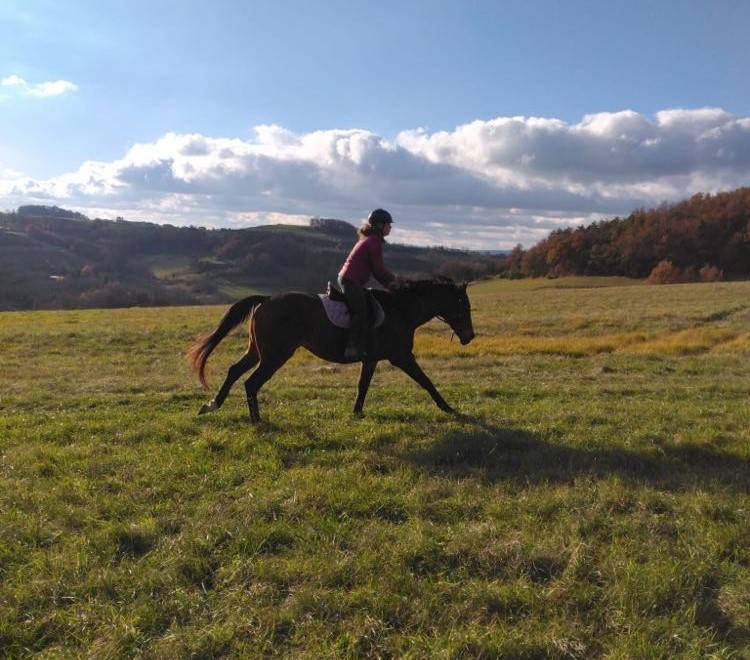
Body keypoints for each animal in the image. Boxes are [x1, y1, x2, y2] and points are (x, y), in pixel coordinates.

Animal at [188, 278, 476, 423]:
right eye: (463, 304)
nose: (469, 336)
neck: (401, 310)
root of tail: (267, 299)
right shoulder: (402, 357)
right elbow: (426, 382)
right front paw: (449, 408)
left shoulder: (371, 359)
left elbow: (363, 386)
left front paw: (357, 412)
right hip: (275, 355)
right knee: (251, 382)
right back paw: (256, 420)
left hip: (259, 351)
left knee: (234, 371)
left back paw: (212, 405)